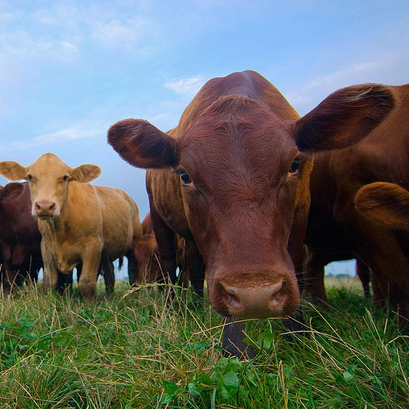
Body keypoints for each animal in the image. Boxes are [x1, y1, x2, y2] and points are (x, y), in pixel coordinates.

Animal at [0, 151, 143, 302]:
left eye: (64, 177)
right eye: (30, 177)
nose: (45, 205)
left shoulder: (93, 247)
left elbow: (86, 283)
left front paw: (89, 305)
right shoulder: (45, 248)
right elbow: (49, 282)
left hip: (134, 244)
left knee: (133, 271)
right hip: (107, 255)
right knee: (110, 276)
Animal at [107, 71, 394, 356]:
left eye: (294, 164)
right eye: (185, 175)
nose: (255, 295)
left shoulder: (301, 211)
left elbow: (296, 264)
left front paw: (295, 333)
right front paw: (235, 345)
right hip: (160, 219)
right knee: (169, 267)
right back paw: (174, 309)